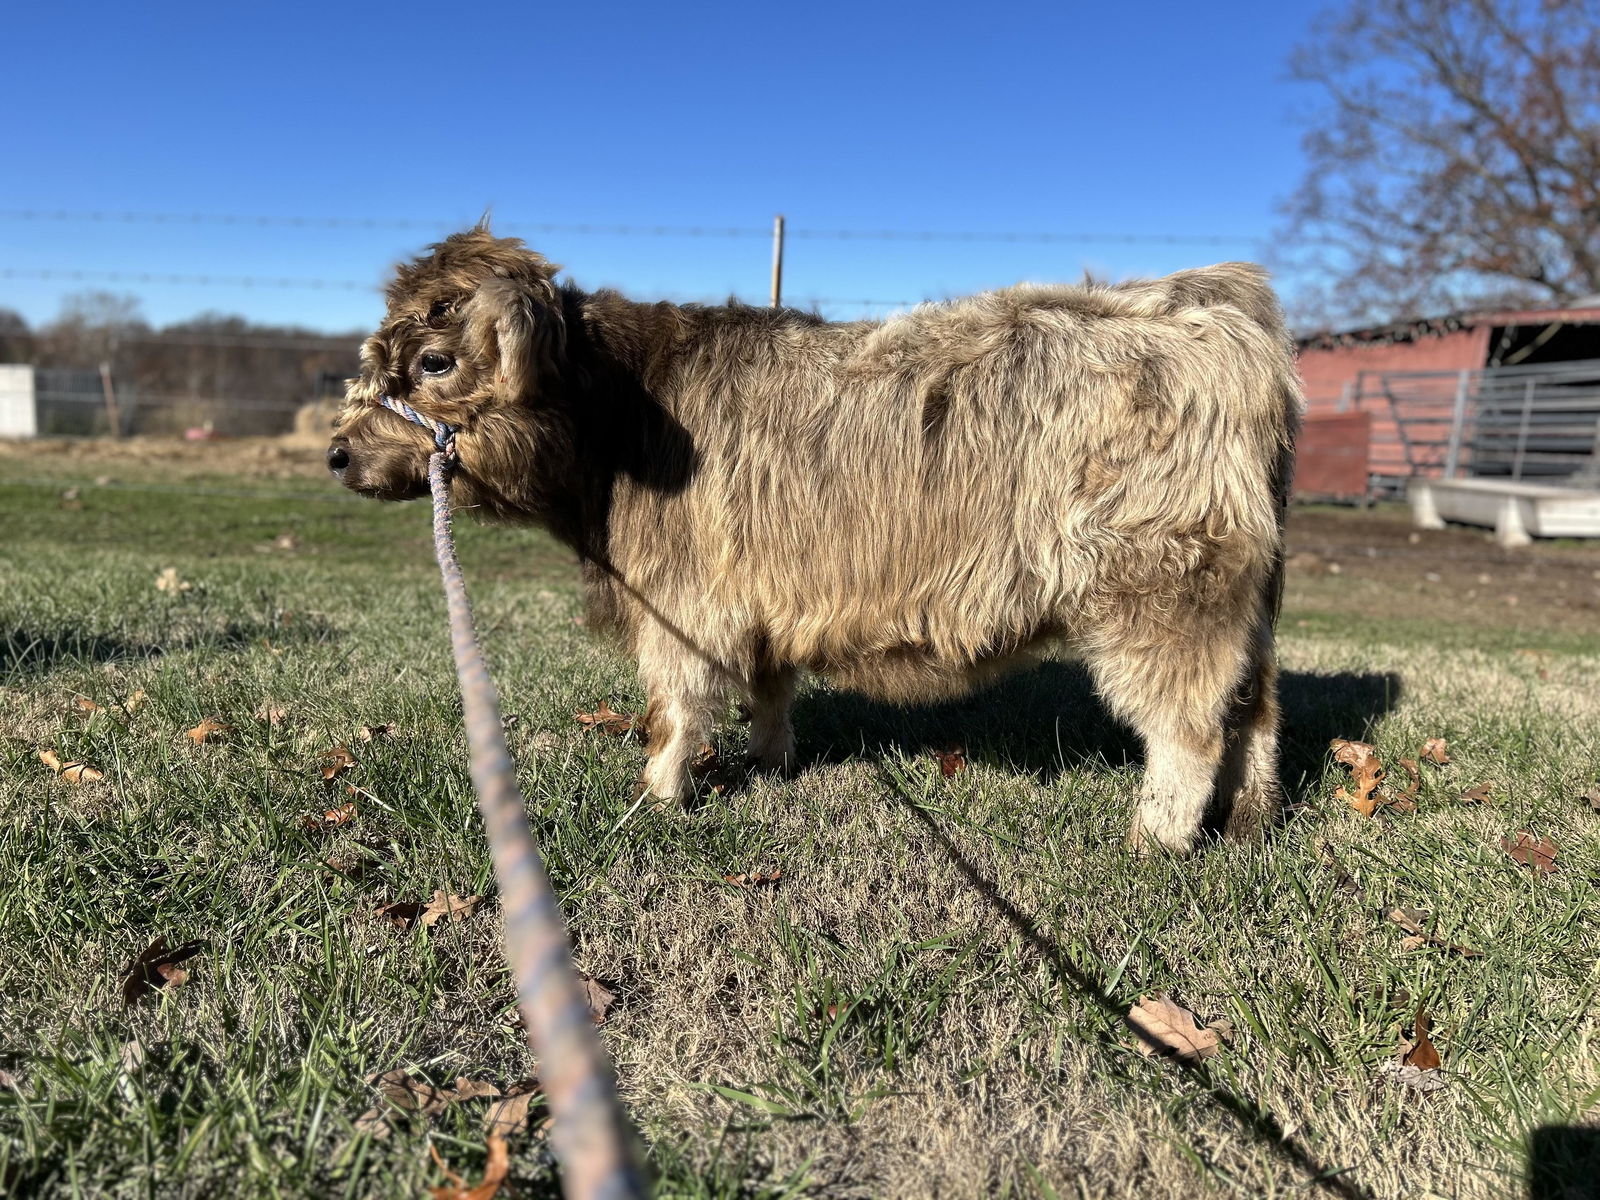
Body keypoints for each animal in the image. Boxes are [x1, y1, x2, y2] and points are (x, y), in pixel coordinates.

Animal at [331, 227, 1300, 853]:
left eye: (434, 362)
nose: (338, 451)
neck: (617, 423)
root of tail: (1214, 301)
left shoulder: (686, 604)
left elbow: (674, 710)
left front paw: (659, 799)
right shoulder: (760, 600)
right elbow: (768, 691)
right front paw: (770, 765)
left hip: (1163, 594)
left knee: (1188, 727)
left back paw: (1154, 842)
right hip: (1242, 606)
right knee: (1255, 708)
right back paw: (1248, 823)